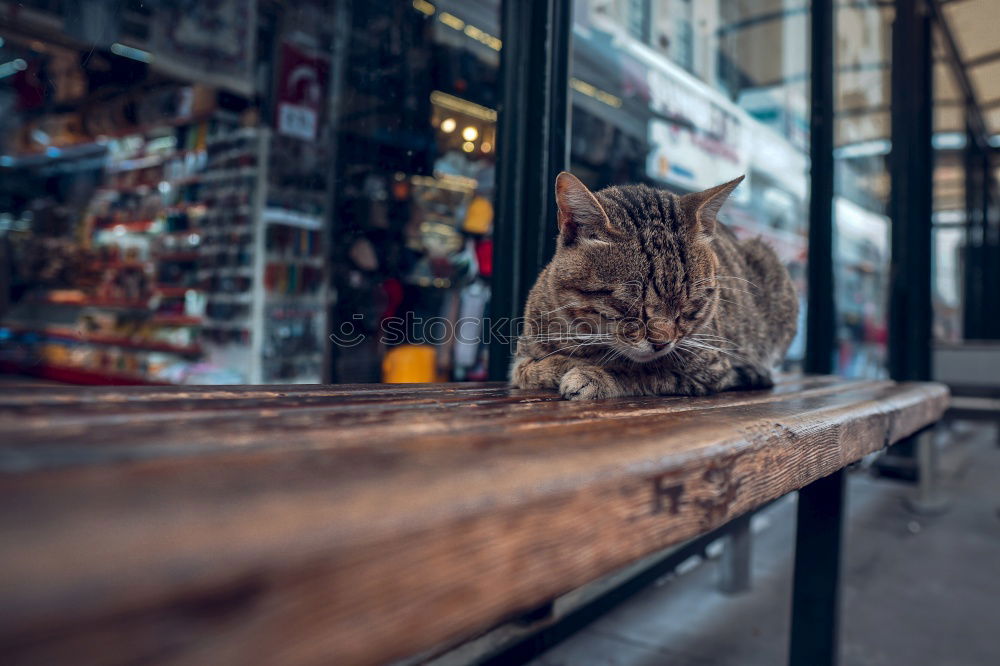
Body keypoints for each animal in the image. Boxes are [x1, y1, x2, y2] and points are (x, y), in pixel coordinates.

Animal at [512, 172, 800, 400]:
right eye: (628, 304)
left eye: (692, 306)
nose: (662, 343)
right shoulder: (521, 358)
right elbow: (528, 370)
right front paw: (564, 364)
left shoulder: (711, 366)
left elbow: (645, 370)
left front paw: (594, 374)